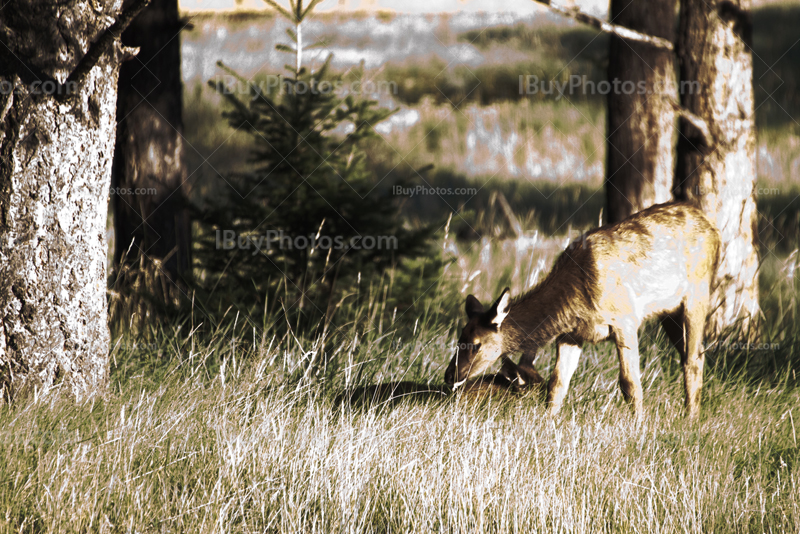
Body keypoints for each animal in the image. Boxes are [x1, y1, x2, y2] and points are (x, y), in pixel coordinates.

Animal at [444, 202, 720, 418]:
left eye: (476, 344)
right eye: (459, 339)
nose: (449, 375)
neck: (575, 298)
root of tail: (713, 227)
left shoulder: (625, 318)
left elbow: (630, 382)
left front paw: (639, 425)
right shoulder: (571, 334)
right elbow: (558, 383)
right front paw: (548, 422)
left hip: (698, 290)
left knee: (694, 358)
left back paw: (691, 420)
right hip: (669, 311)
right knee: (690, 354)